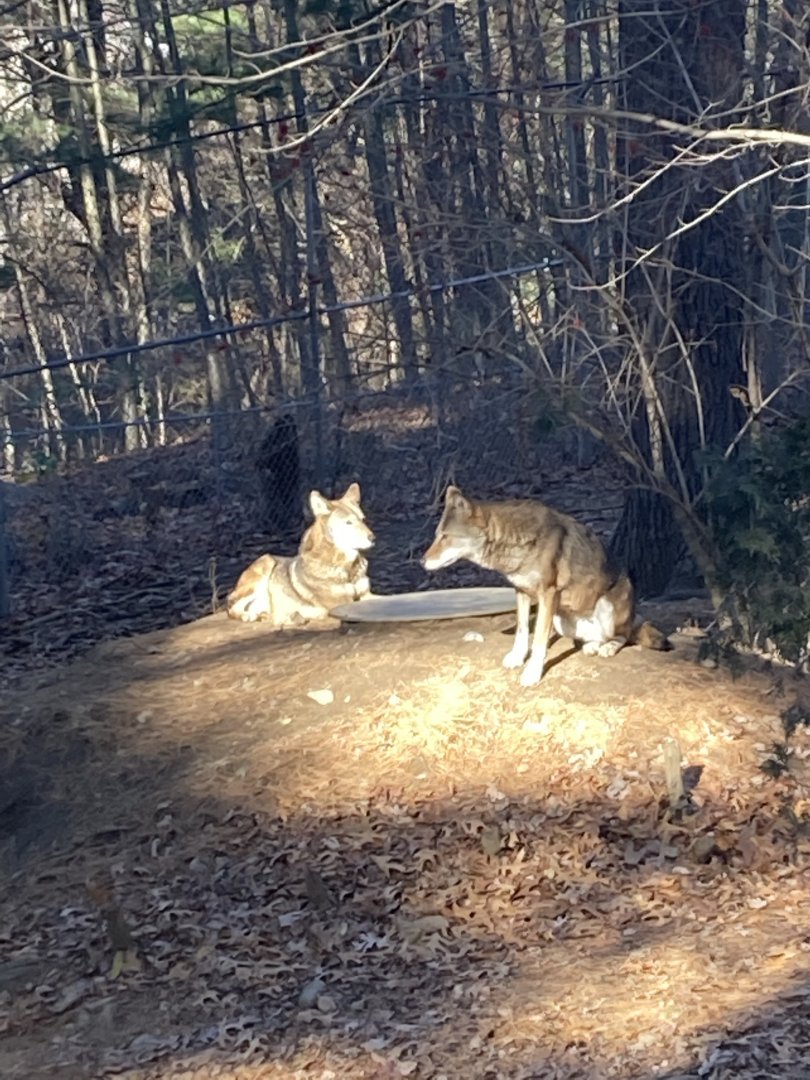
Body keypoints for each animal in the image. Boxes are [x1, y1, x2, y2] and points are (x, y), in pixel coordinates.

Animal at [226, 482, 374, 626]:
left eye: (363, 519)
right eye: (348, 522)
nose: (373, 538)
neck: (348, 570)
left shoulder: (366, 594)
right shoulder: (342, 603)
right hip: (266, 563)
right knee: (232, 607)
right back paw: (249, 616)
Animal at [421, 486, 668, 687]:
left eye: (445, 537)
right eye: (437, 536)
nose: (421, 561)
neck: (515, 542)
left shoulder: (548, 594)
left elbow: (539, 639)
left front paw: (532, 674)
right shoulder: (520, 591)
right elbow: (522, 632)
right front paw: (516, 658)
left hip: (608, 606)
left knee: (624, 635)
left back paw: (607, 647)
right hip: (562, 622)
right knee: (595, 638)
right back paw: (592, 646)